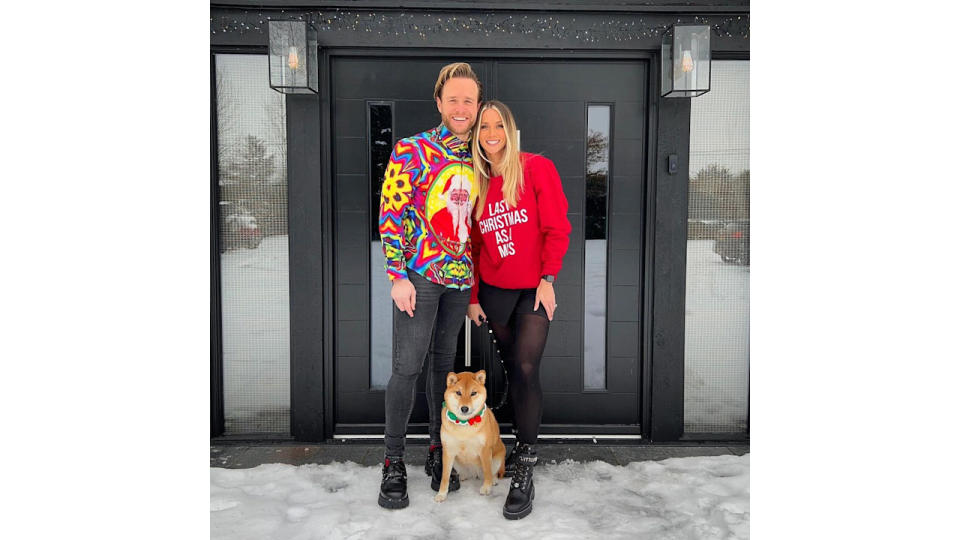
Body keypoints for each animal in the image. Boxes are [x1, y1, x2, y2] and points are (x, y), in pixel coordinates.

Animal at [436, 372, 510, 502]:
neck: (464, 424)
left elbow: (487, 471)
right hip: (456, 462)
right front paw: (442, 493)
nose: (464, 408)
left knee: (492, 473)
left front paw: (486, 488)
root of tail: (474, 473)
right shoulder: (448, 451)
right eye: (458, 392)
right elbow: (445, 476)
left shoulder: (485, 450)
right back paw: (462, 476)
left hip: (498, 457)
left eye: (473, 393)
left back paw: (493, 480)